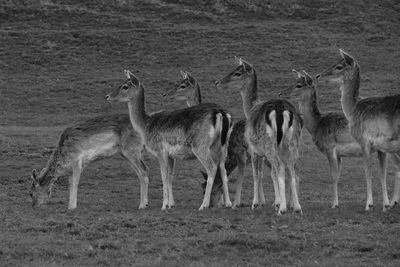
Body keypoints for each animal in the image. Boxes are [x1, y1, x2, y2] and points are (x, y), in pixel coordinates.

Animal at [104, 70, 233, 211]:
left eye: (125, 86)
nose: (107, 96)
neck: (145, 127)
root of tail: (220, 113)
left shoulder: (160, 151)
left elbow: (164, 176)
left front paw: (164, 205)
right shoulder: (171, 155)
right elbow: (170, 176)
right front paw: (171, 204)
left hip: (200, 145)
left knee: (212, 168)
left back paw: (203, 205)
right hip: (222, 145)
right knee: (223, 169)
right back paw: (228, 203)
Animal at [216, 58, 304, 216]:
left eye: (238, 73)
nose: (218, 82)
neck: (250, 109)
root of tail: (283, 111)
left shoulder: (253, 149)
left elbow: (256, 174)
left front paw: (256, 203)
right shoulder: (262, 153)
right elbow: (267, 173)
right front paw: (274, 202)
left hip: (270, 144)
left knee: (280, 167)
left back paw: (282, 208)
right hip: (293, 143)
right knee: (292, 169)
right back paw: (297, 207)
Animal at [318, 48, 400, 211]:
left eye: (339, 66)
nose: (318, 75)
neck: (352, 110)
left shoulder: (364, 141)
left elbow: (368, 172)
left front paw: (369, 204)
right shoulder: (381, 147)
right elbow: (382, 172)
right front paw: (385, 204)